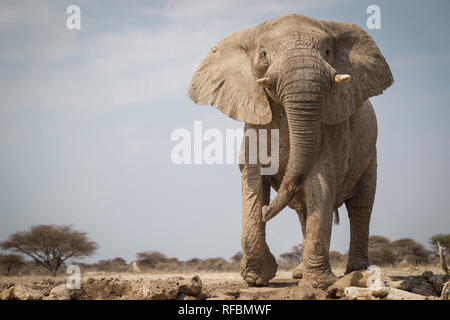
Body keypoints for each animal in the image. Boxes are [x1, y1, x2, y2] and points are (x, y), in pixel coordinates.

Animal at [188, 13, 392, 288]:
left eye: (328, 51)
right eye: (263, 53)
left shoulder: (335, 125)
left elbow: (322, 178)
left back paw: (356, 273)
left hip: (370, 154)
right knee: (305, 211)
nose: (266, 211)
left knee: (360, 205)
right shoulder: (254, 120)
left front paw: (318, 284)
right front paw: (257, 279)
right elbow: (252, 178)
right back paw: (298, 273)